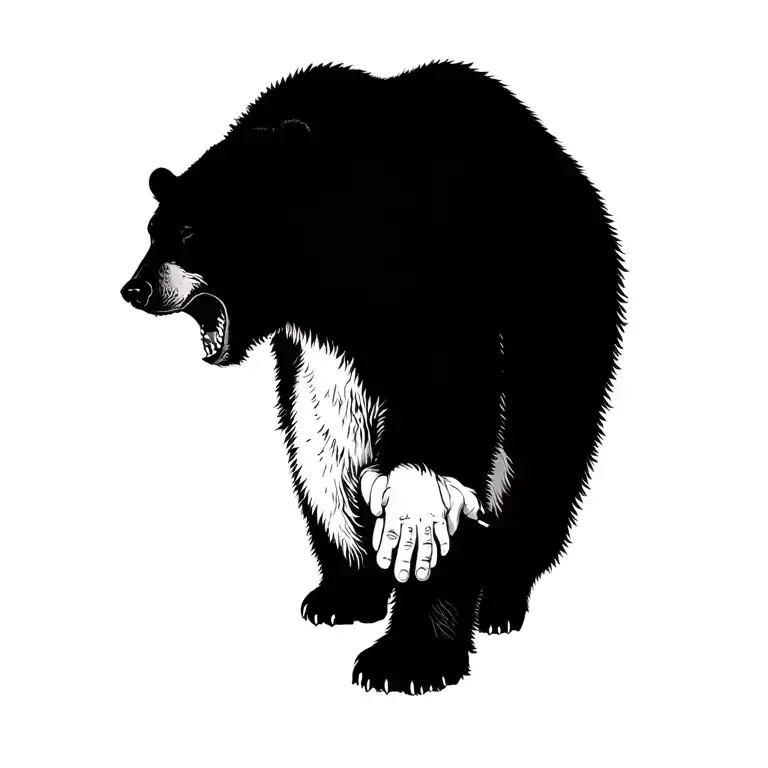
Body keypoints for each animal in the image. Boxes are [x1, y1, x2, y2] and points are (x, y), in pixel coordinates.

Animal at [121, 61, 625, 695]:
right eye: (153, 229)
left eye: (191, 231)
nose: (134, 289)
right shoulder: (317, 353)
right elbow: (322, 448)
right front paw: (346, 590)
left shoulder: (439, 267)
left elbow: (450, 415)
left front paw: (407, 655)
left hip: (563, 317)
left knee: (541, 462)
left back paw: (502, 597)